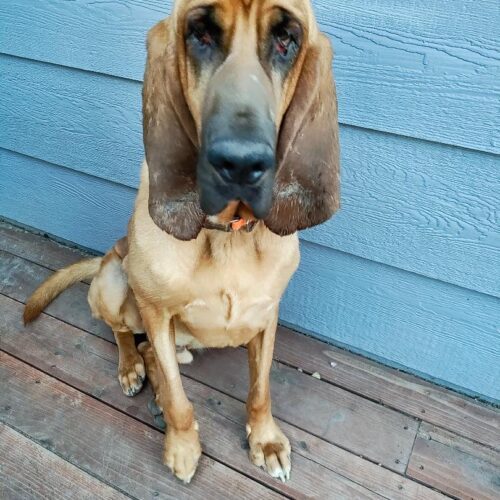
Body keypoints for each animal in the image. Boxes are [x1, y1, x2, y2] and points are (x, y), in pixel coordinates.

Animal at [23, 0, 340, 484]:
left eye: (287, 39)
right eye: (200, 35)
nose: (240, 164)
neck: (228, 235)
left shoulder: (268, 314)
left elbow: (261, 387)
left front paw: (265, 439)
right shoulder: (155, 312)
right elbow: (176, 396)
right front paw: (182, 445)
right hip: (113, 281)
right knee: (128, 338)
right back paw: (132, 369)